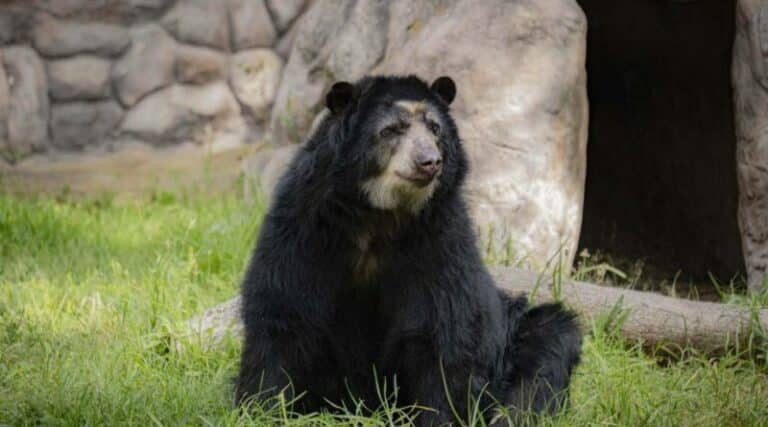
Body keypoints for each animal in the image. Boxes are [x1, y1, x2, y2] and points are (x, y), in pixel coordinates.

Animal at [235, 75, 582, 426]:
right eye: (391, 130)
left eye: (435, 129)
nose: (429, 162)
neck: (379, 213)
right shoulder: (304, 228)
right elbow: (284, 310)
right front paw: (262, 408)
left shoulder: (440, 239)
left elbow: (441, 328)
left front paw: (438, 416)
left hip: (511, 336)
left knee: (547, 347)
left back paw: (509, 415)